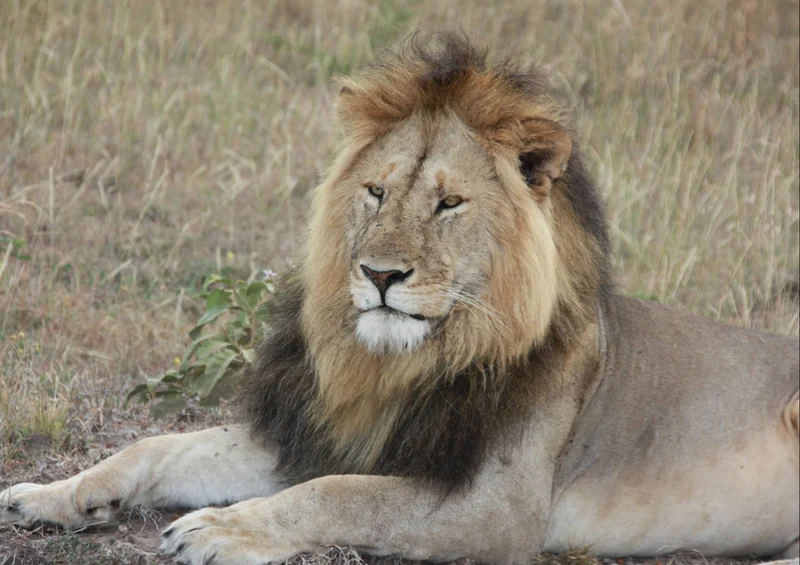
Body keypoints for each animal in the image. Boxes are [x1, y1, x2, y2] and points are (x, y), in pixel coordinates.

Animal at [1, 35, 798, 565]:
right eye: (376, 191)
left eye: (449, 203)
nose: (380, 274)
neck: (396, 365)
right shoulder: (317, 434)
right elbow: (154, 447)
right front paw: (51, 494)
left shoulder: (498, 507)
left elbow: (339, 494)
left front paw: (219, 529)